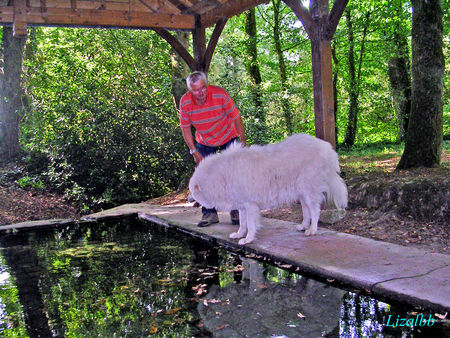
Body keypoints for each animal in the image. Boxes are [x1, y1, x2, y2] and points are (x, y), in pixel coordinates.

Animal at [189, 134, 348, 246]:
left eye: (192, 191)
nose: (188, 199)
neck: (220, 176)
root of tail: (327, 148)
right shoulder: (242, 205)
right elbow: (242, 223)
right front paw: (239, 234)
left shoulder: (250, 205)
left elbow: (250, 224)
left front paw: (248, 239)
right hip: (302, 193)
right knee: (306, 211)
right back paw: (303, 226)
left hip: (309, 191)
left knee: (315, 211)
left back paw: (312, 230)